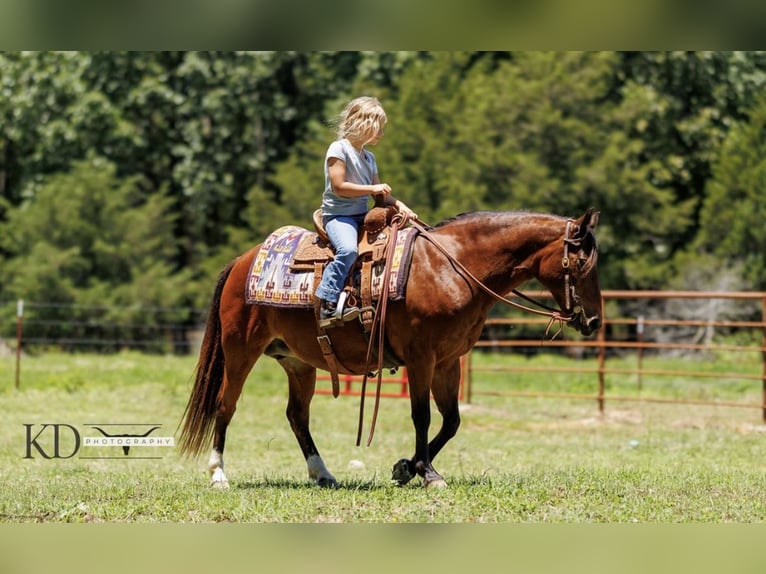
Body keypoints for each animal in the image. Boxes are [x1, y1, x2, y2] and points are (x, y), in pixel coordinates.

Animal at [178, 208, 602, 489]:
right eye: (582, 262)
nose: (595, 321)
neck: (452, 267)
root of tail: (242, 261)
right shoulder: (421, 357)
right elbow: (422, 416)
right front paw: (427, 474)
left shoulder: (448, 361)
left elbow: (451, 421)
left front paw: (405, 468)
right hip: (240, 351)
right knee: (225, 406)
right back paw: (218, 475)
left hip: (298, 362)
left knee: (297, 416)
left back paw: (323, 474)